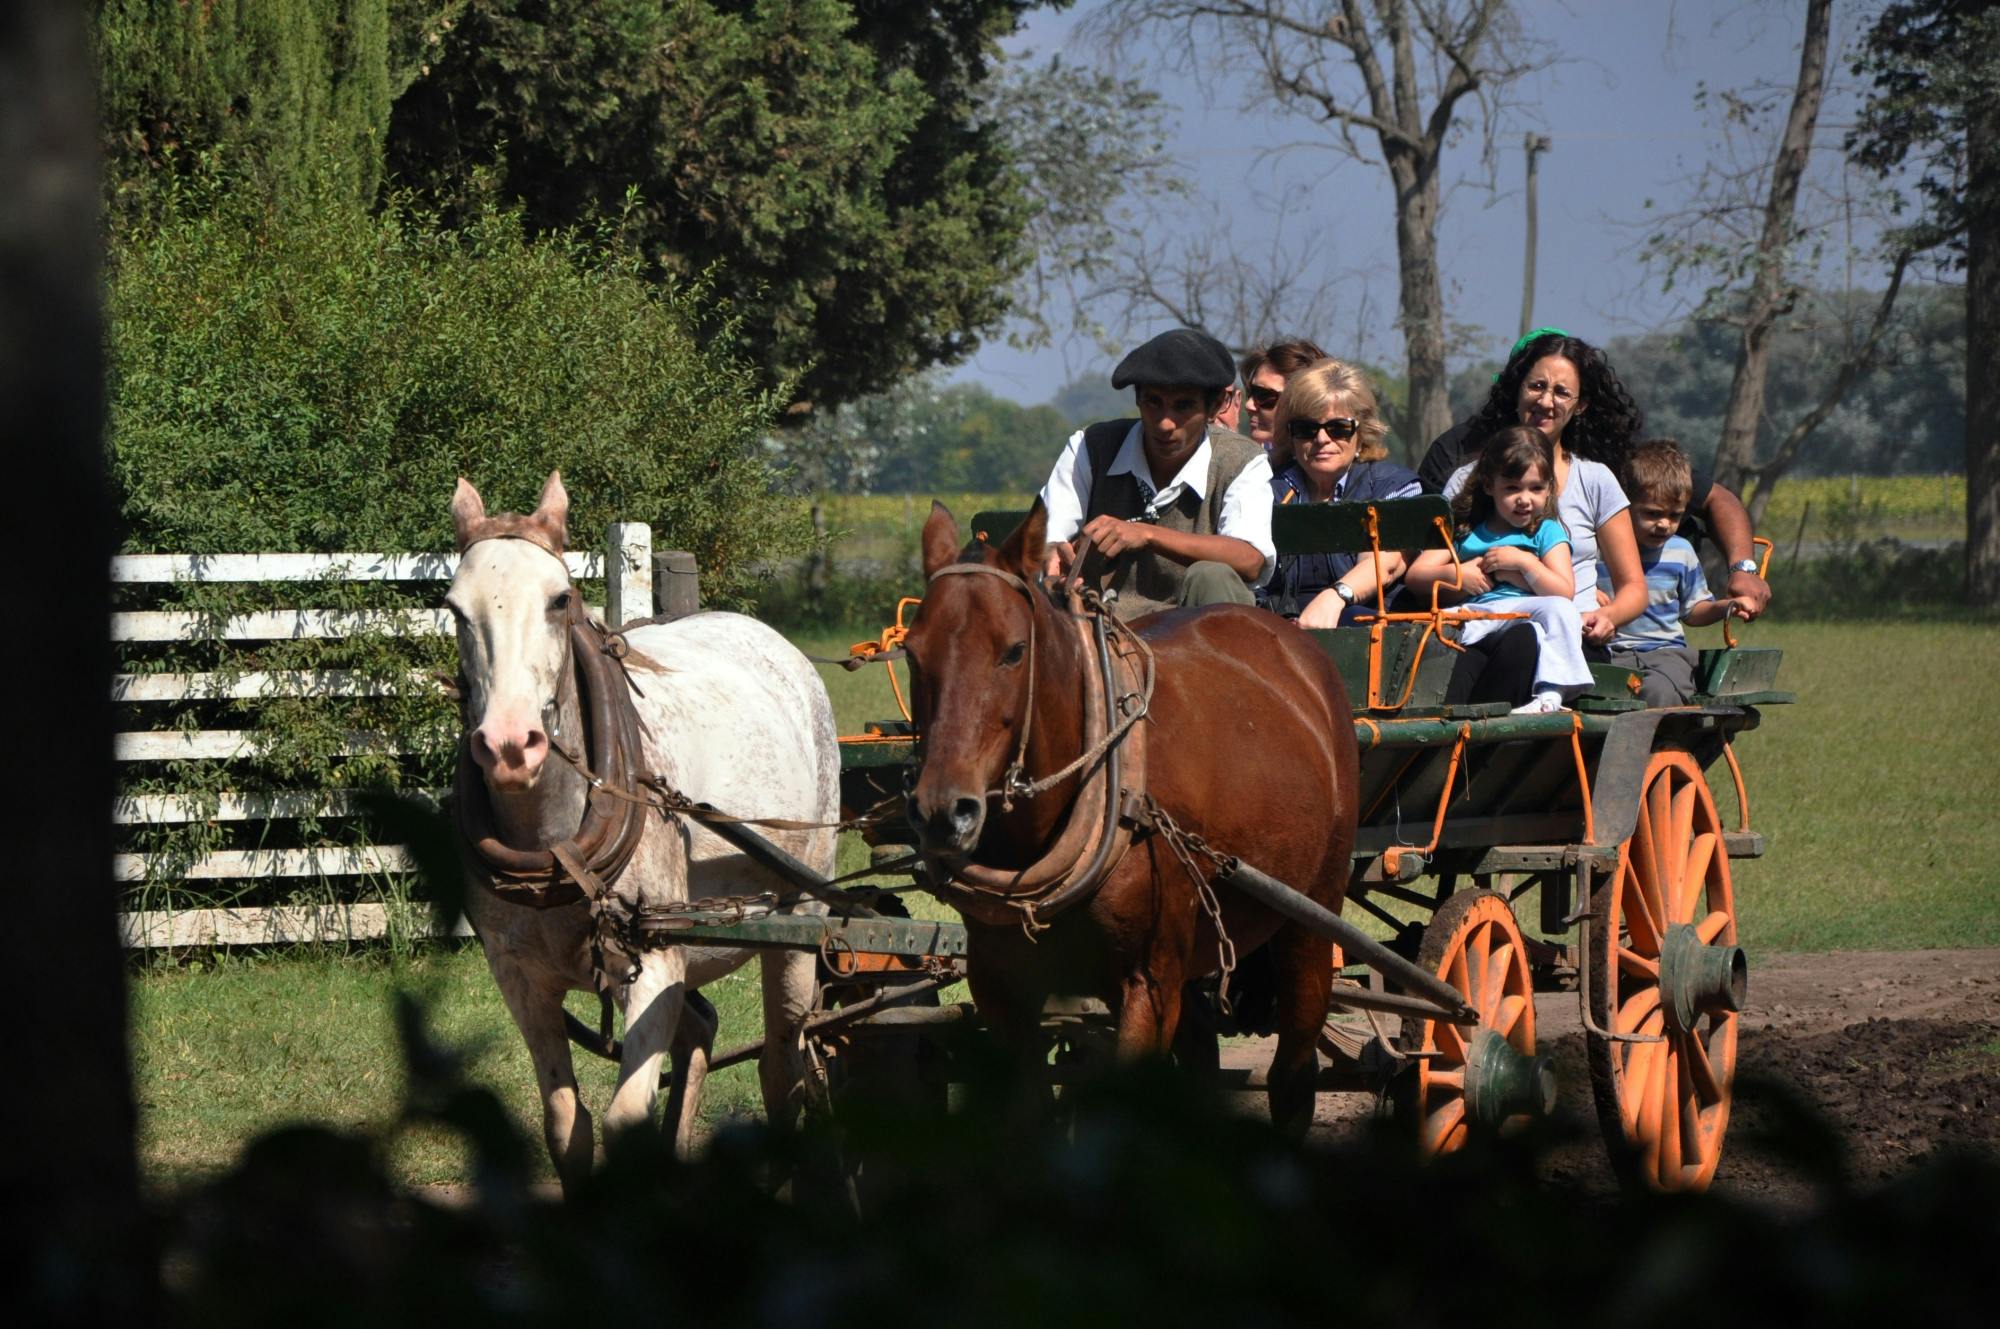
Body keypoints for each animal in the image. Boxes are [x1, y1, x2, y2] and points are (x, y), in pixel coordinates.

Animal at [448, 472, 836, 1184]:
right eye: (455, 608)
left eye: (560, 599)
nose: (511, 745)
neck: (556, 844)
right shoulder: (519, 980)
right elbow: (566, 1124)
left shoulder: (655, 962)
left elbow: (625, 1118)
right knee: (703, 1032)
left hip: (800, 918)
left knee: (782, 1067)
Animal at [908, 500, 1360, 1128]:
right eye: (911, 650)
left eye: (1014, 650)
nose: (943, 811)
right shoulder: (1001, 989)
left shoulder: (1147, 983)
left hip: (1312, 911)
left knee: (1293, 1066)